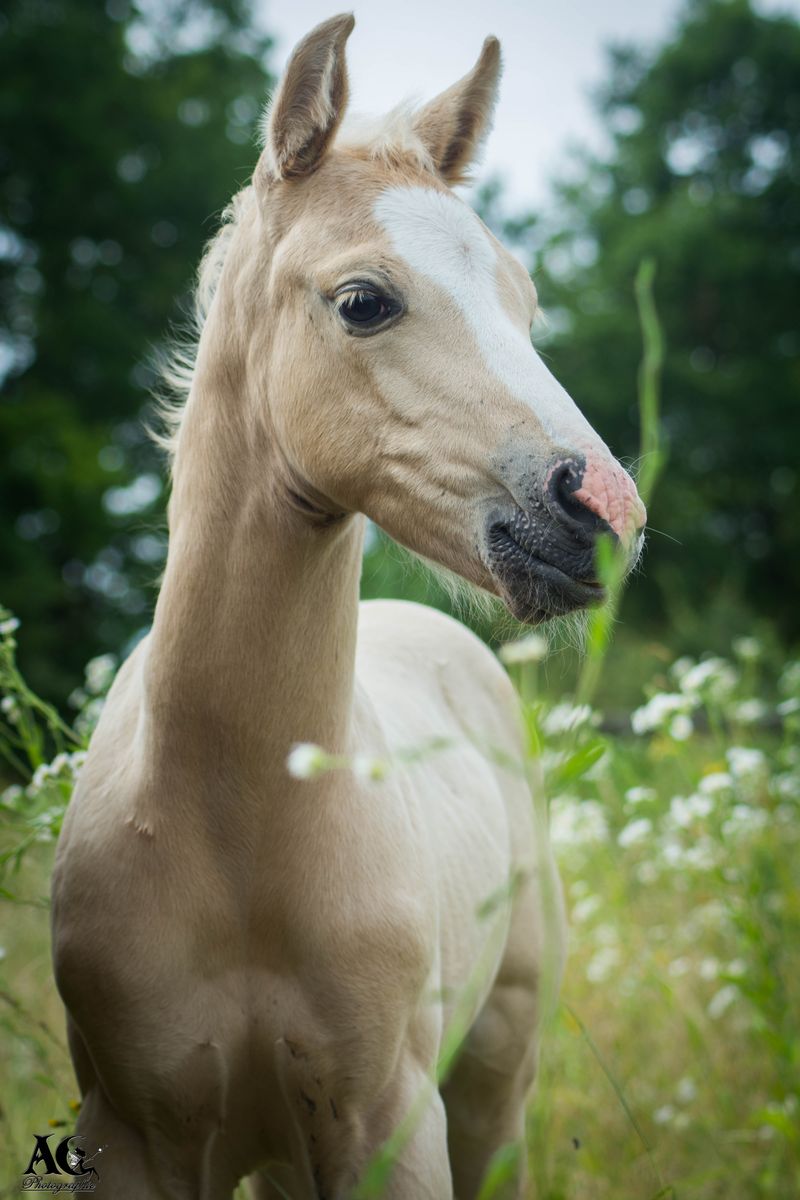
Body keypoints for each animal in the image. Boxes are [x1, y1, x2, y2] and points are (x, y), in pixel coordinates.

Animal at [51, 14, 645, 1199]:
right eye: (364, 301)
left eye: (525, 307)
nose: (607, 514)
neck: (228, 836)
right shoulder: (128, 1135)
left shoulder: (391, 1130)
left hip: (493, 1088)